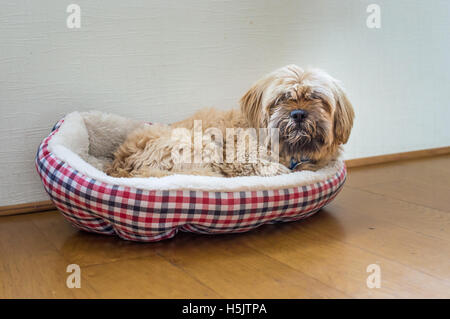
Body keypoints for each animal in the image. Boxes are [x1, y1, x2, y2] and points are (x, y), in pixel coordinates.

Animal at [106, 65, 356, 179]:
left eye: (316, 98)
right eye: (282, 99)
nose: (298, 114)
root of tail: (122, 163)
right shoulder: (239, 157)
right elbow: (267, 167)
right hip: (199, 144)